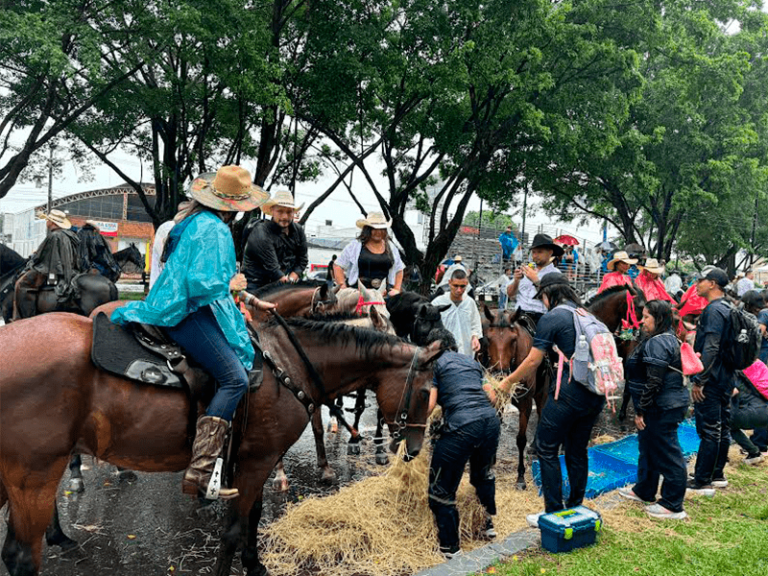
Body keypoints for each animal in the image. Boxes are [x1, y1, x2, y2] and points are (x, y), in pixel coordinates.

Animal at [0, 316, 444, 576]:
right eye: (425, 392)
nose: (415, 446)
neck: (287, 365)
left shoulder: (254, 459)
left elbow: (254, 516)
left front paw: (255, 564)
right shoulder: (256, 463)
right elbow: (232, 529)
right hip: (33, 478)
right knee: (22, 556)